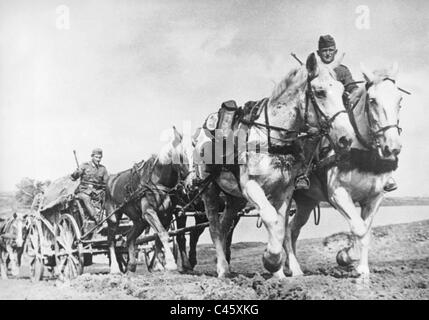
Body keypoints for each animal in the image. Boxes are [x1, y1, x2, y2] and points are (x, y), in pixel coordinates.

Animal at [105, 126, 194, 274]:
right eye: (181, 156)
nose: (191, 183)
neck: (156, 181)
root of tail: (110, 180)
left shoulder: (166, 215)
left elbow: (158, 238)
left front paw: (159, 265)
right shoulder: (149, 212)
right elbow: (163, 234)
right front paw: (170, 263)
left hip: (139, 221)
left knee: (130, 238)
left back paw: (131, 265)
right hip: (113, 218)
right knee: (111, 240)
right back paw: (115, 269)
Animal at [194, 52, 354, 278]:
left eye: (342, 92)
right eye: (320, 92)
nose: (346, 138)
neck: (272, 137)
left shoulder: (284, 191)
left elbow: (280, 227)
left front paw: (278, 271)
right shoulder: (251, 187)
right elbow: (271, 218)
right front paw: (271, 260)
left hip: (235, 200)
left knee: (225, 227)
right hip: (209, 192)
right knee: (215, 228)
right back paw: (222, 269)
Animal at [286, 62, 402, 278]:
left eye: (399, 100)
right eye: (372, 100)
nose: (392, 148)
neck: (361, 152)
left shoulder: (374, 198)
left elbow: (366, 231)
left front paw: (362, 268)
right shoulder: (338, 194)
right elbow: (359, 228)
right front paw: (346, 256)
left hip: (306, 203)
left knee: (292, 229)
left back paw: (292, 266)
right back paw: (290, 268)